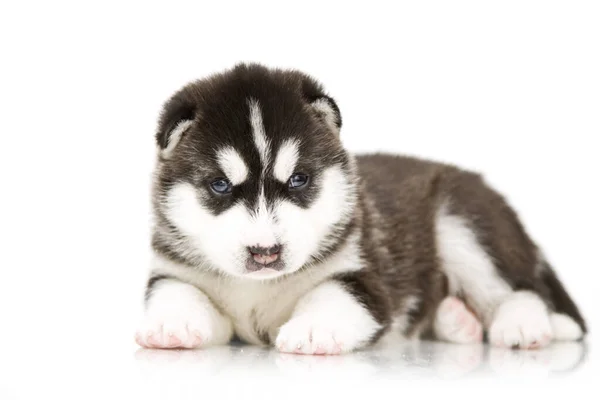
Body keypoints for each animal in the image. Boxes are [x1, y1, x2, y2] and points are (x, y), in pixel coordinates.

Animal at [135, 61, 584, 354]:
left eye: (299, 180)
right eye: (220, 185)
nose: (266, 254)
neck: (258, 287)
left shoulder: (361, 274)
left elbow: (336, 294)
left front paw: (313, 329)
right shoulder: (174, 270)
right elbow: (178, 292)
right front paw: (172, 324)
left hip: (464, 226)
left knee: (523, 288)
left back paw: (522, 324)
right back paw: (458, 321)